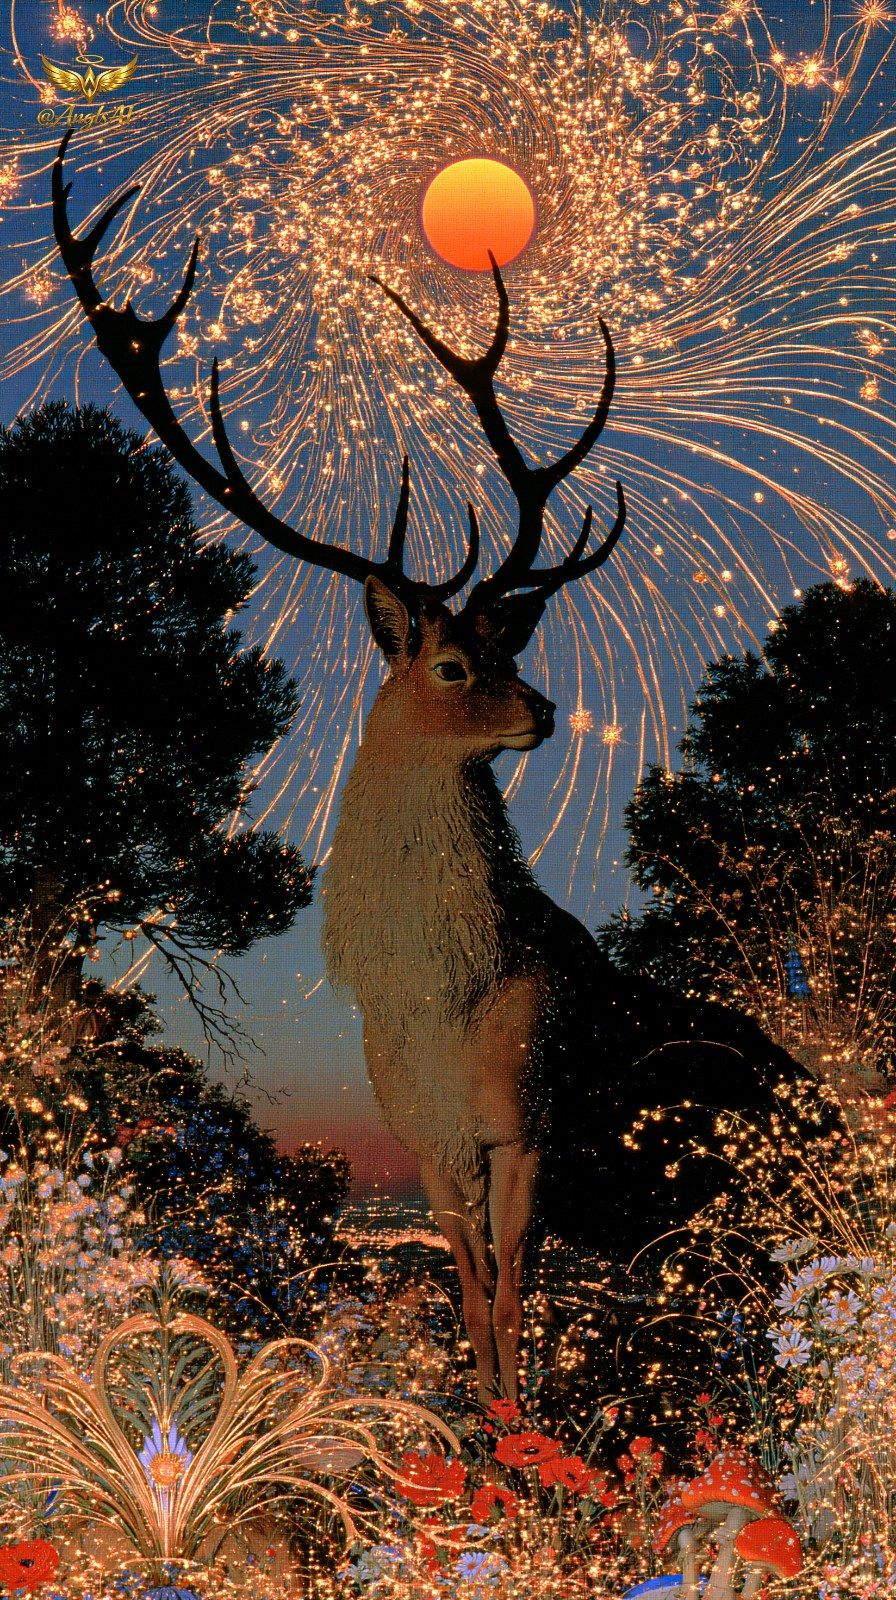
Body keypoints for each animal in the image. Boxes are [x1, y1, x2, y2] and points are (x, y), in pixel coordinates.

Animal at [52, 132, 802, 1403]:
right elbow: (469, 1308)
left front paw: (522, 1435)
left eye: (516, 647)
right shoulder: (429, 1151)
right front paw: (487, 1422)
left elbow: (508, 1305)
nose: (543, 712)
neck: (438, 1001)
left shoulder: (527, 1125)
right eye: (454, 662)